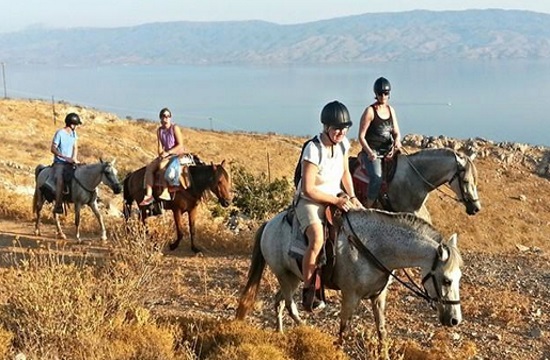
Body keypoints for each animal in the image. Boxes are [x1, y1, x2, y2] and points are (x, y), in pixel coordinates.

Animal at [235, 208, 464, 340]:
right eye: (446, 280)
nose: (455, 320)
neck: (374, 248)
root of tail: (269, 224)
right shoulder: (350, 296)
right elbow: (343, 330)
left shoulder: (378, 297)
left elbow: (382, 331)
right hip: (284, 276)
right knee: (291, 306)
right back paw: (309, 331)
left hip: (293, 278)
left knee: (279, 302)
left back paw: (280, 333)